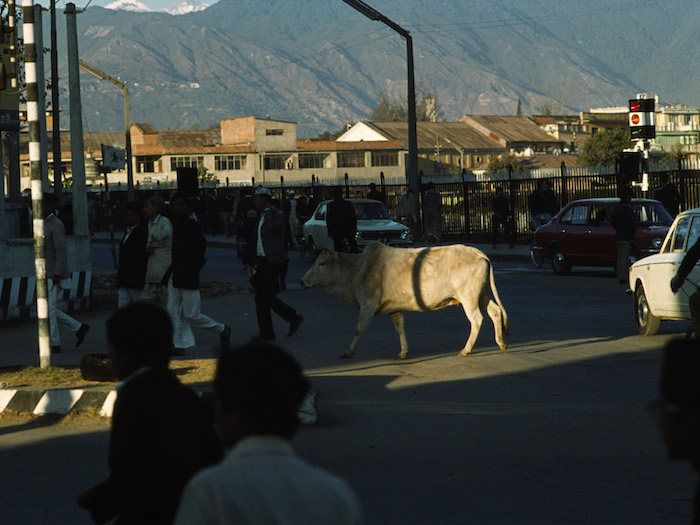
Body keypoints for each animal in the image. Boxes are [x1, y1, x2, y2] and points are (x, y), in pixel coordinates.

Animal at [300, 243, 508, 358]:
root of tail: (477, 252)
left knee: (477, 320)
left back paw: (466, 349)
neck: (357, 269)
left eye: (321, 263)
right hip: (482, 295)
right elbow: (400, 327)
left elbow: (359, 329)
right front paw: (403, 352)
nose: (302, 281)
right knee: (495, 312)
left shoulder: (368, 304)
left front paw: (349, 351)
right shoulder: (393, 307)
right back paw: (501, 343)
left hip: (469, 298)